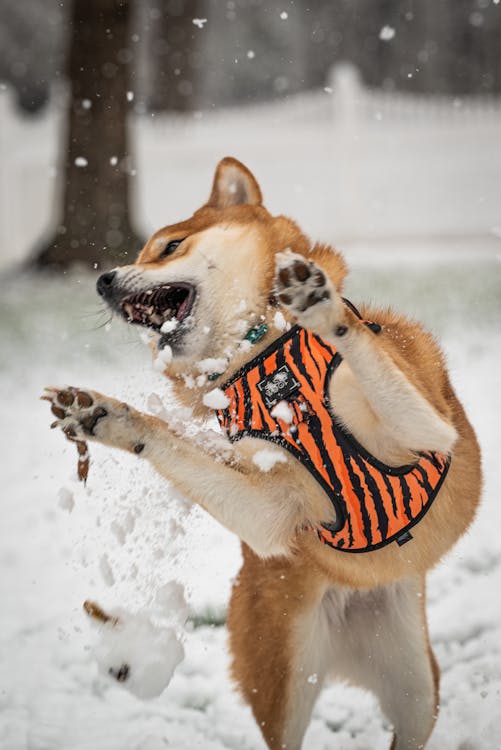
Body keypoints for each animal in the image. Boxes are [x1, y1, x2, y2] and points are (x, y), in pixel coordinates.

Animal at [43, 159, 480, 750]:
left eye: (169, 246)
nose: (103, 280)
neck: (263, 362)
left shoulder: (430, 432)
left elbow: (363, 348)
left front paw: (323, 307)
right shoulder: (277, 517)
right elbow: (171, 442)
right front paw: (108, 417)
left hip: (417, 695)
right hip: (285, 681)